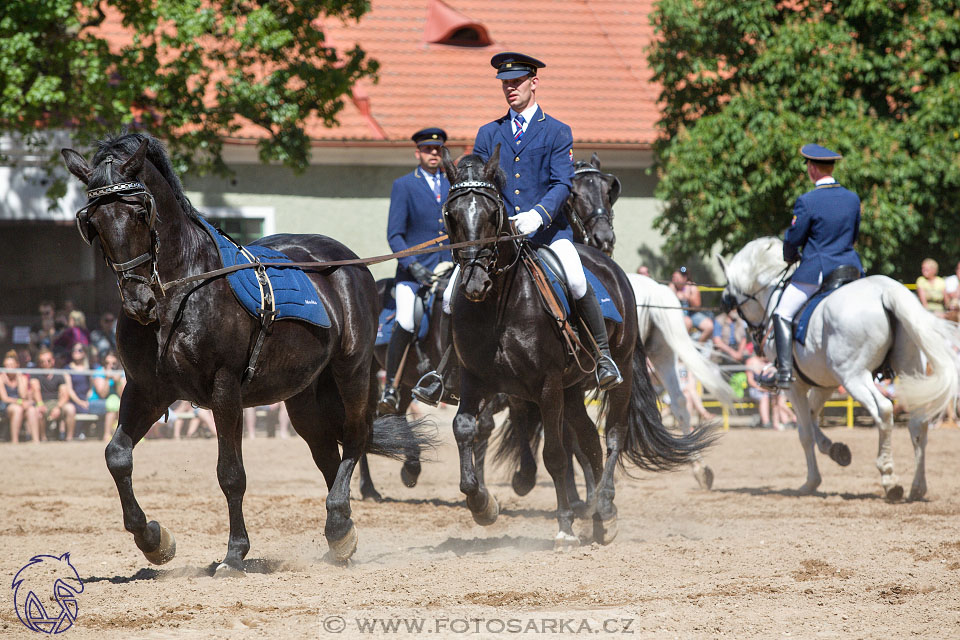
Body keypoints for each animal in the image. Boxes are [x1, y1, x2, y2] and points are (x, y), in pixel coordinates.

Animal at [62, 131, 430, 576]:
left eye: (139, 213)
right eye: (93, 223)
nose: (138, 302)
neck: (183, 290)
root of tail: (349, 262)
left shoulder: (225, 390)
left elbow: (230, 474)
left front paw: (235, 552)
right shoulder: (146, 390)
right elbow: (117, 456)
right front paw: (154, 540)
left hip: (353, 370)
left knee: (357, 437)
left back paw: (339, 524)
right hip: (304, 394)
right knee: (328, 452)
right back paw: (341, 534)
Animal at [442, 148, 712, 548]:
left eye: (494, 214)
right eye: (451, 215)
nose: (475, 282)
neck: (498, 307)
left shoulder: (546, 386)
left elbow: (556, 454)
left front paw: (565, 524)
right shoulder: (476, 381)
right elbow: (464, 428)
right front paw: (482, 505)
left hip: (618, 374)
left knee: (613, 436)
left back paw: (604, 504)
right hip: (570, 392)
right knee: (589, 442)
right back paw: (599, 512)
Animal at [720, 238, 960, 498]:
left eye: (731, 297)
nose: (755, 340)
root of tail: (884, 290)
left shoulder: (795, 386)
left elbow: (804, 432)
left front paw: (811, 482)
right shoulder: (824, 385)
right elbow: (812, 418)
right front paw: (836, 450)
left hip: (854, 378)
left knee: (884, 410)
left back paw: (888, 477)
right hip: (910, 372)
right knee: (918, 424)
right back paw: (917, 487)